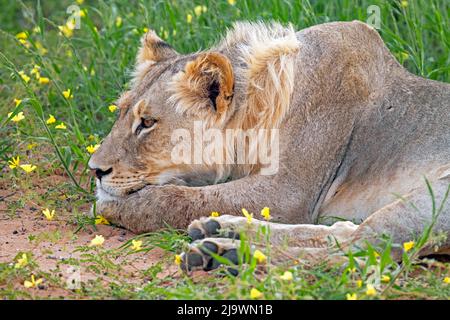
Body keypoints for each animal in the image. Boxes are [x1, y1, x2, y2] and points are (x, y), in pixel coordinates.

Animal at [89, 20, 450, 270]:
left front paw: (111, 205)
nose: (95, 170)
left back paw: (226, 254)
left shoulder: (289, 191)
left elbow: (178, 199)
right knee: (345, 234)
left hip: (432, 200)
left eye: (147, 123)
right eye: (121, 112)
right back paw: (223, 230)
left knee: (359, 254)